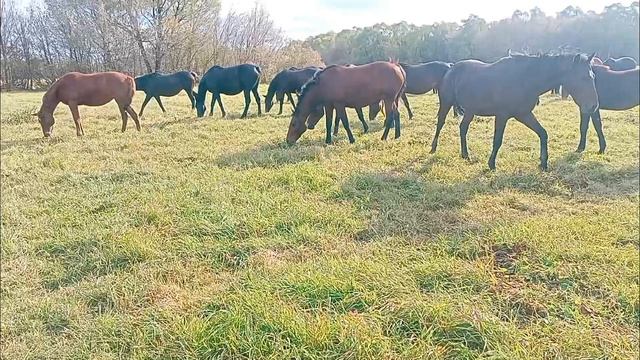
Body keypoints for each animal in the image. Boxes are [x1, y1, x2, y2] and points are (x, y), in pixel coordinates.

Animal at [430, 52, 600, 171]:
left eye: (593, 76)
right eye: (583, 77)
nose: (593, 106)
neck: (524, 80)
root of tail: (451, 69)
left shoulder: (524, 114)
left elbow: (543, 133)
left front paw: (543, 163)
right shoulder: (502, 116)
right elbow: (497, 140)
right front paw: (491, 164)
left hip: (470, 110)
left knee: (463, 128)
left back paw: (465, 155)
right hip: (446, 103)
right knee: (440, 123)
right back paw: (433, 148)